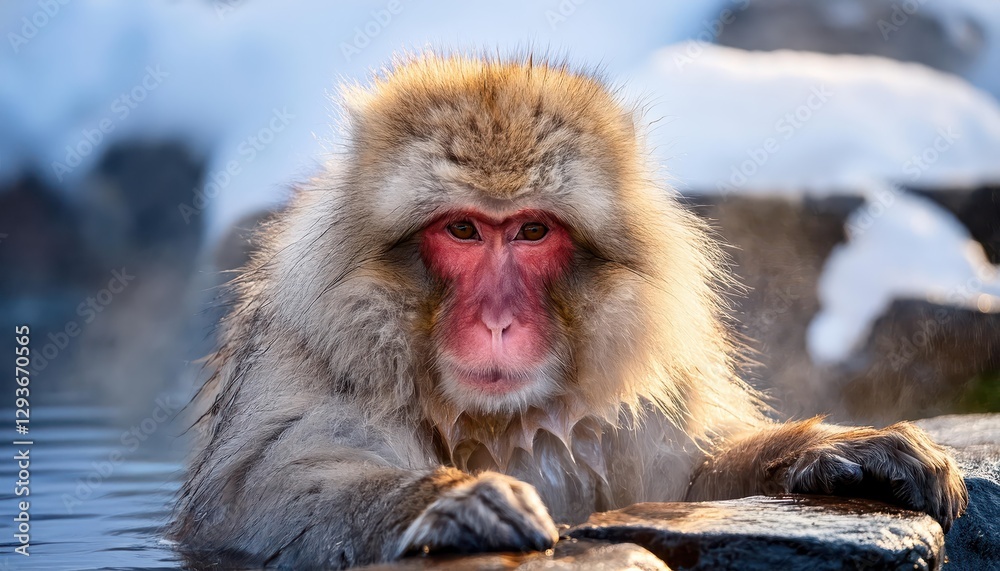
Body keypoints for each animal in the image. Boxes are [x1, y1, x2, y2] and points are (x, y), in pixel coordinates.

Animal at [169, 53, 968, 570]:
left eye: (531, 230)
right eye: (463, 230)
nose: (498, 321)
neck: (500, 420)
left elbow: (688, 483)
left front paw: (838, 452)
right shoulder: (306, 359)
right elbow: (253, 499)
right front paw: (451, 499)